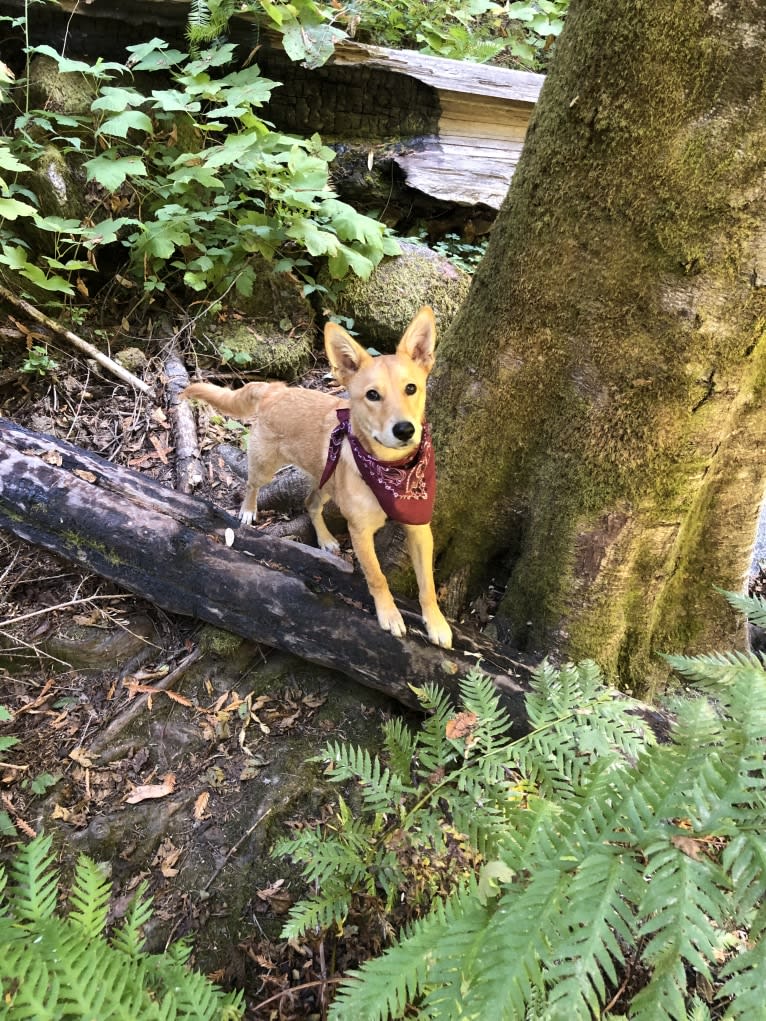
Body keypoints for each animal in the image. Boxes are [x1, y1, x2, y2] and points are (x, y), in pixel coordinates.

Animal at [182, 306, 453, 649]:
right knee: (253, 485)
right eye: (372, 395)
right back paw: (248, 510)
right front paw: (389, 614)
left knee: (311, 503)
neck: (392, 470)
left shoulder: (419, 528)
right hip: (265, 466)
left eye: (411, 388)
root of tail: (275, 389)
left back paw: (324, 539)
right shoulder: (360, 532)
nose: (405, 430)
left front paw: (437, 622)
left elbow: (427, 583)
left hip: (326, 481)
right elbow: (377, 576)